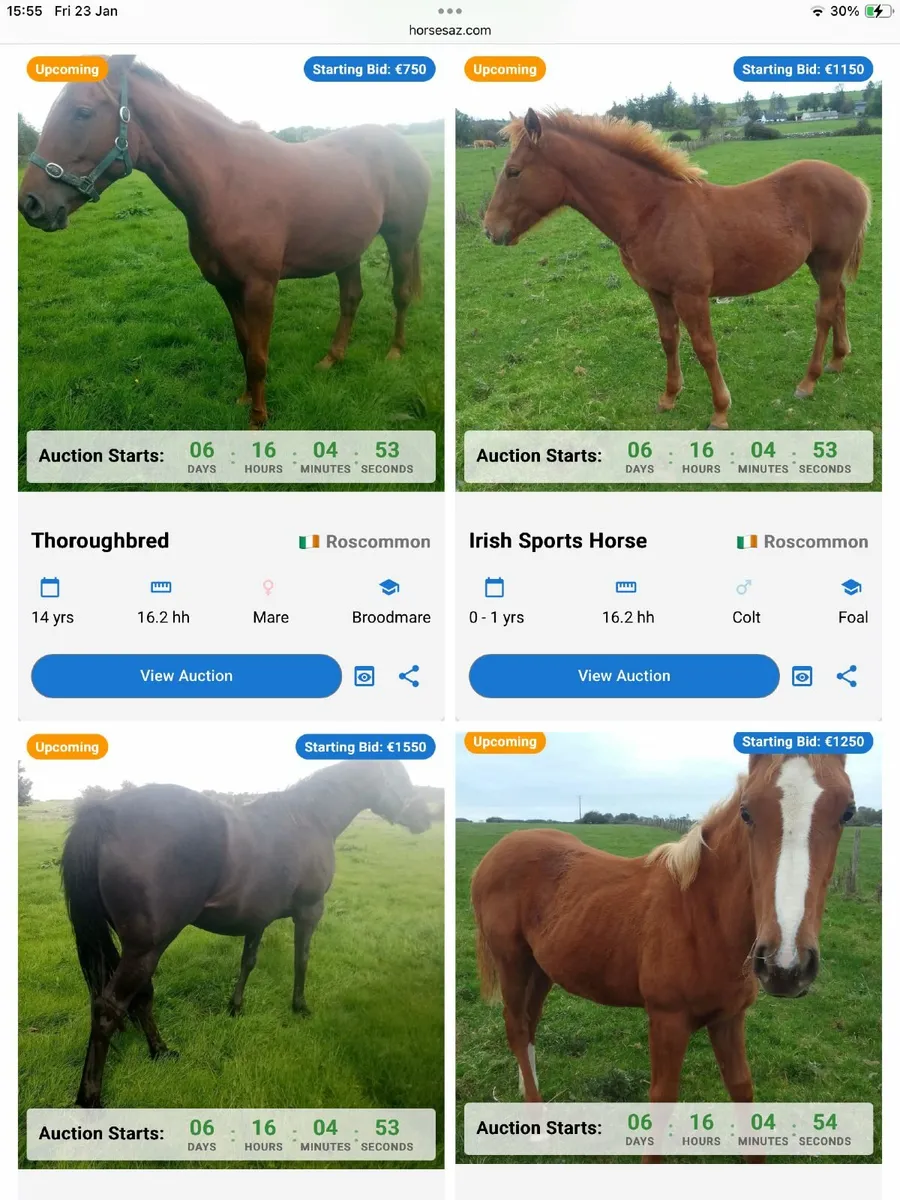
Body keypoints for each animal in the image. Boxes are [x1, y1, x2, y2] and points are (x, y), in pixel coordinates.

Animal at [18, 56, 431, 430]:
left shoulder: (260, 288)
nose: (31, 204)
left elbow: (260, 356)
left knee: (400, 295)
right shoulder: (226, 286)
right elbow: (245, 346)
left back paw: (395, 352)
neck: (225, 184)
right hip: (347, 249)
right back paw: (333, 358)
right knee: (351, 298)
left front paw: (259, 419)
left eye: (83, 112)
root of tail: (406, 147)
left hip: (401, 238)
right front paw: (246, 399)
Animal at [60, 760, 432, 1107]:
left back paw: (160, 1051)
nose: (425, 817)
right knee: (109, 1008)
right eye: (399, 777)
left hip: (138, 947)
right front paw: (300, 1007)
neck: (309, 818)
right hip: (147, 947)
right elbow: (301, 960)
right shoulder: (310, 911)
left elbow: (248, 961)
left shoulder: (257, 919)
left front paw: (235, 1007)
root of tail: (105, 813)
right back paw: (90, 1096)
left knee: (139, 997)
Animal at [471, 754, 856, 1161]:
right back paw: (535, 1119)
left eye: (848, 812)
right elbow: (661, 1100)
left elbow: (742, 1090)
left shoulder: (729, 1019)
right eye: (746, 812)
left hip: (541, 967)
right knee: (515, 1025)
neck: (700, 915)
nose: (785, 965)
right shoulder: (667, 1020)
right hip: (511, 961)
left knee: (529, 1023)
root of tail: (497, 850)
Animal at [482, 109, 871, 429]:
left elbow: (705, 347)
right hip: (821, 265)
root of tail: (855, 182)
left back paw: (808, 381)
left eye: (514, 172)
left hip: (829, 262)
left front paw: (720, 412)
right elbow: (669, 340)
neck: (653, 211)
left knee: (824, 312)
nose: (489, 229)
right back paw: (838, 360)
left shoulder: (691, 294)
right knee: (839, 301)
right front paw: (669, 396)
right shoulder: (658, 292)